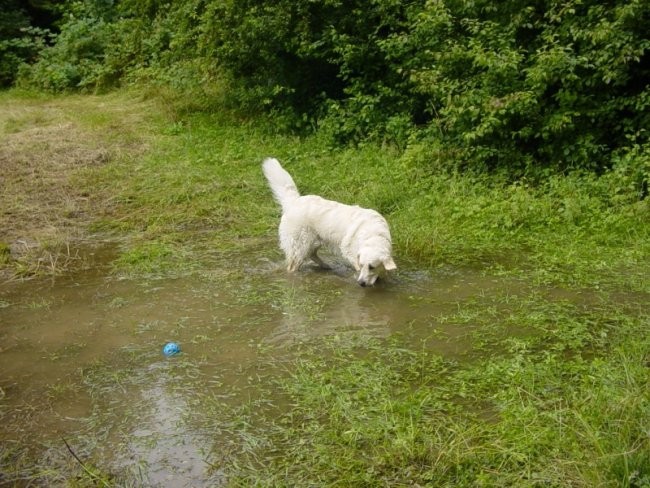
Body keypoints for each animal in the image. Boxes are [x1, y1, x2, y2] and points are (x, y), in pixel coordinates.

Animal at [262, 156, 394, 286]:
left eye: (372, 267)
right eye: (362, 265)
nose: (361, 283)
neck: (374, 234)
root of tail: (294, 201)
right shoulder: (349, 252)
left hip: (314, 240)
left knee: (312, 254)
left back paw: (326, 266)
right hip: (299, 246)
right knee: (294, 265)